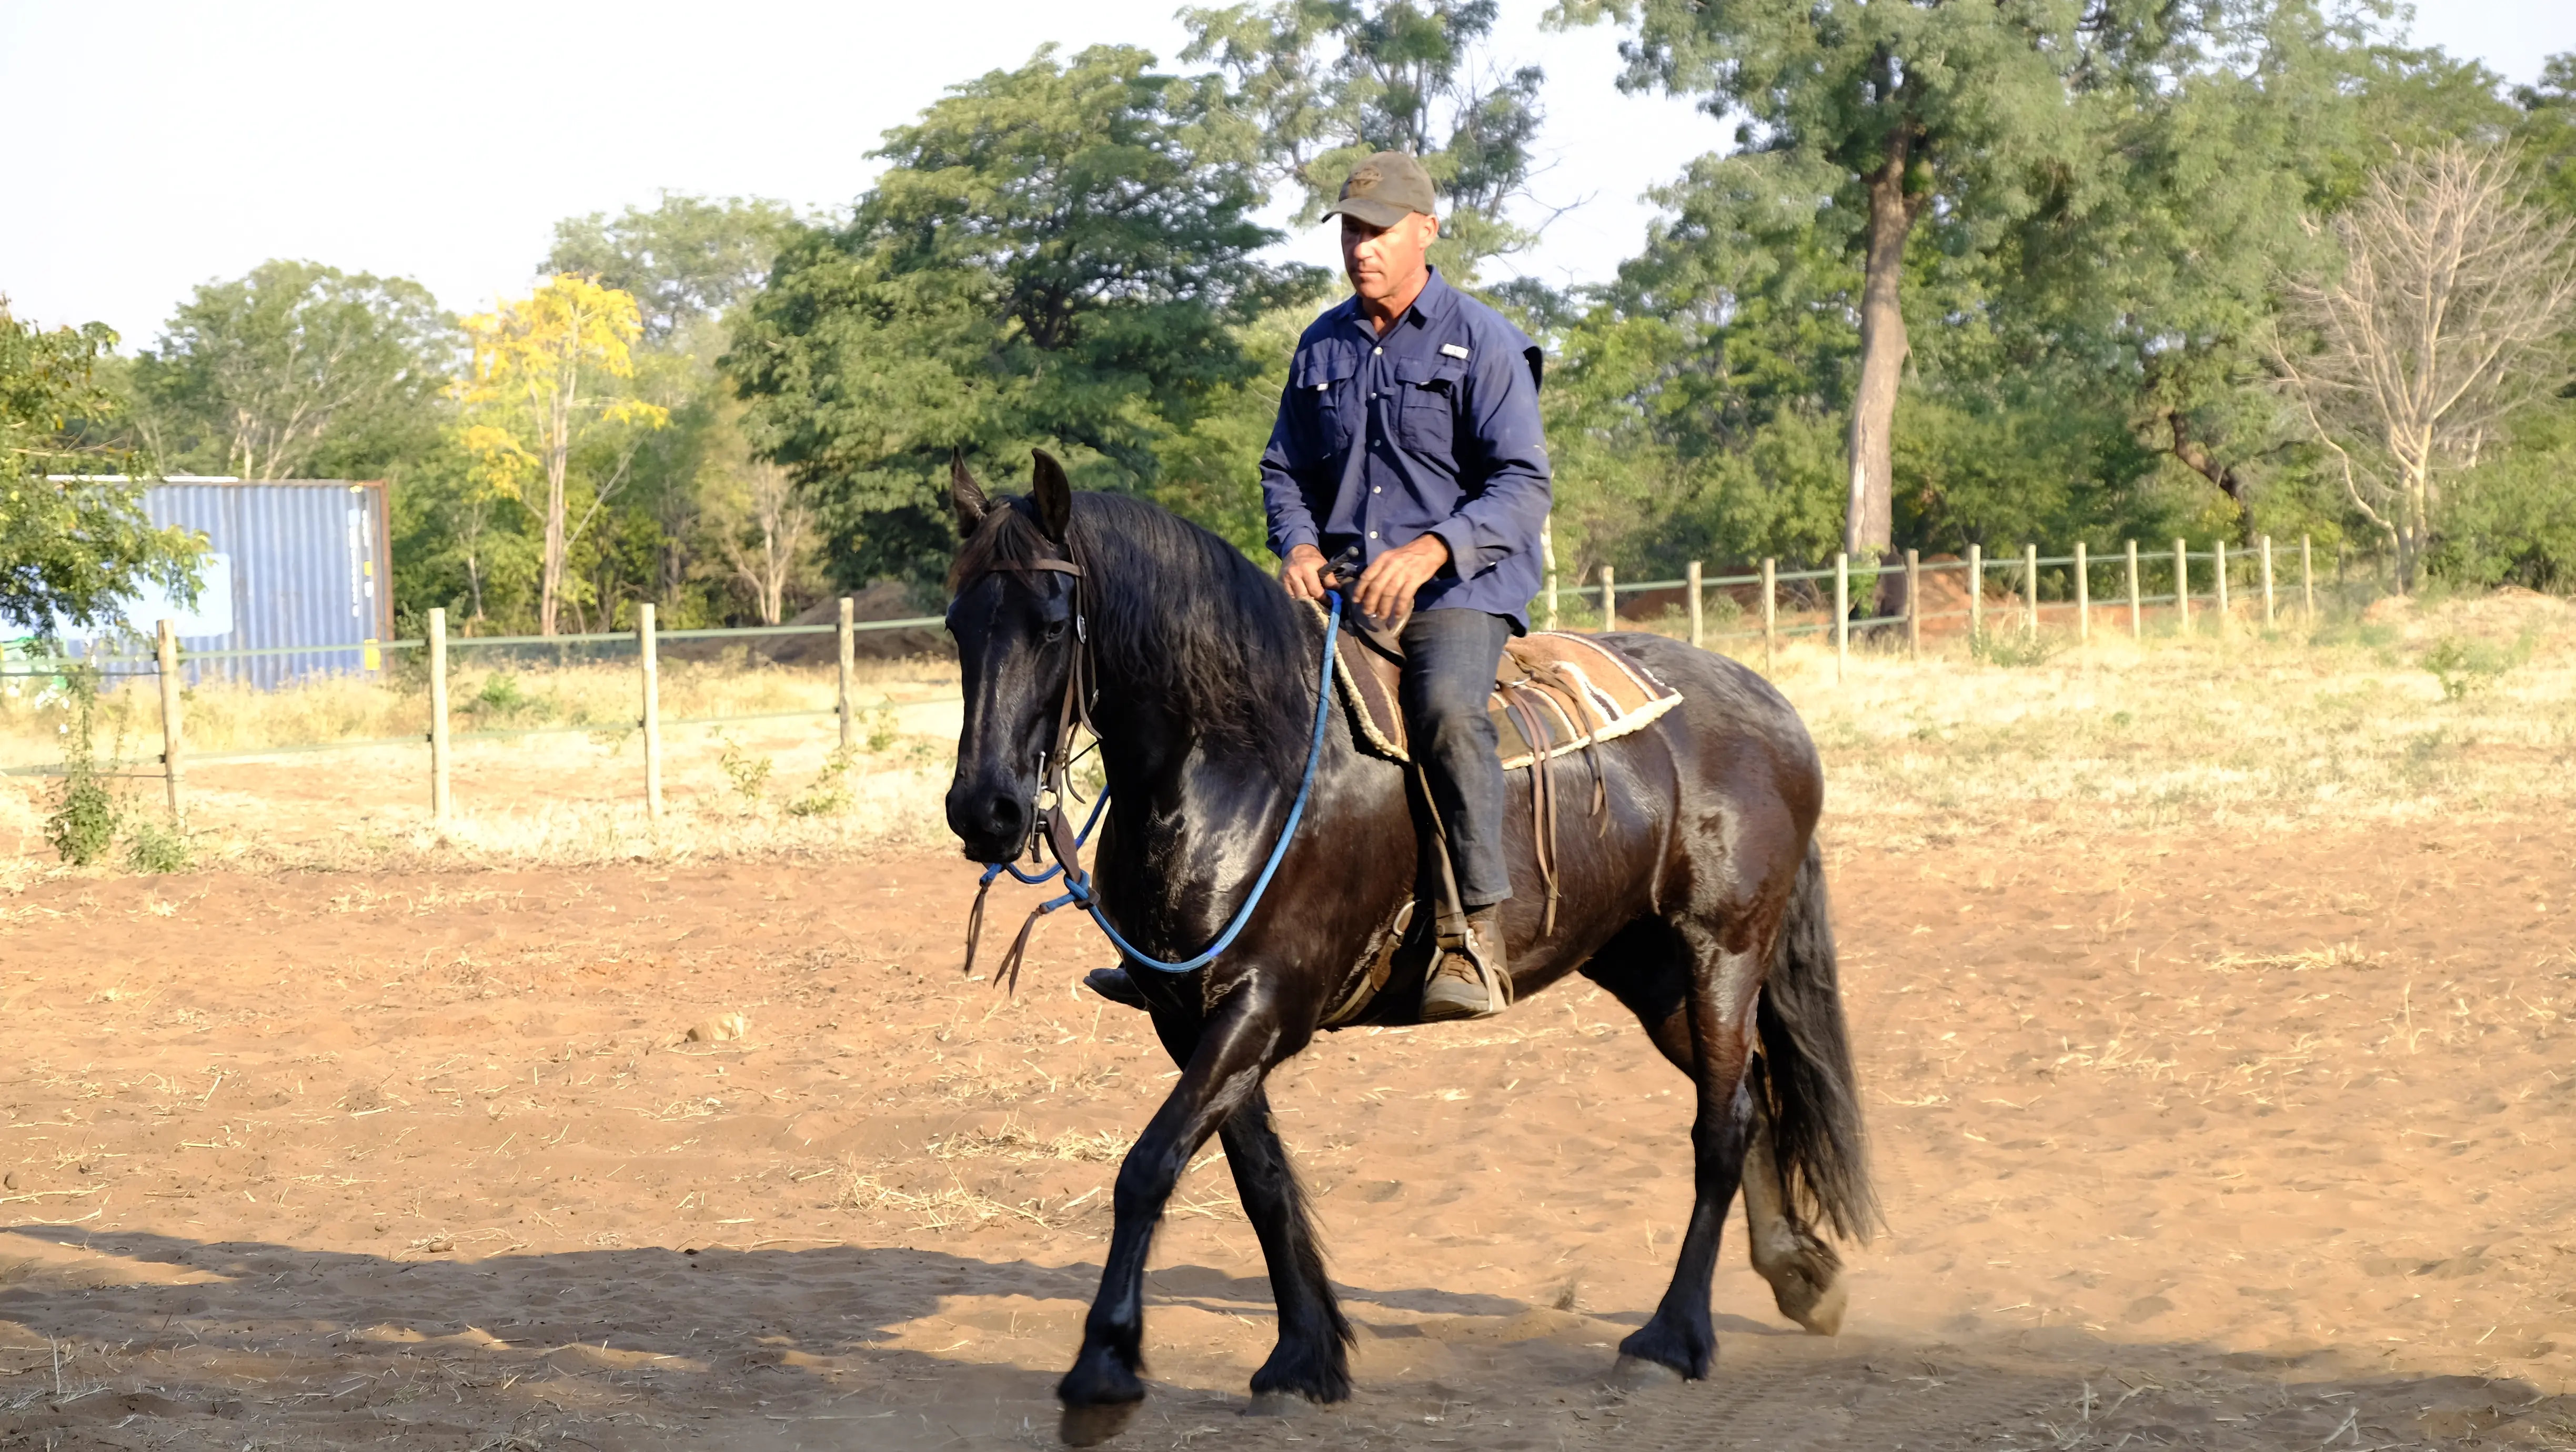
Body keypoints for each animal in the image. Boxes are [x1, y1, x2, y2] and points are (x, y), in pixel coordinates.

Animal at [942, 451, 1875, 1444]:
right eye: (958, 624)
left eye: (1050, 625)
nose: (985, 810)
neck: (1240, 759)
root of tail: (1769, 703)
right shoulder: (1189, 1015)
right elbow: (1258, 1179)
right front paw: (1306, 1356)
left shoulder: (1265, 1005)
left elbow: (1148, 1167)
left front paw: (1104, 1368)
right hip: (1650, 969)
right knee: (1749, 1100)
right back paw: (1799, 1278)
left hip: (1723, 952)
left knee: (1721, 1124)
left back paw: (1671, 1339)